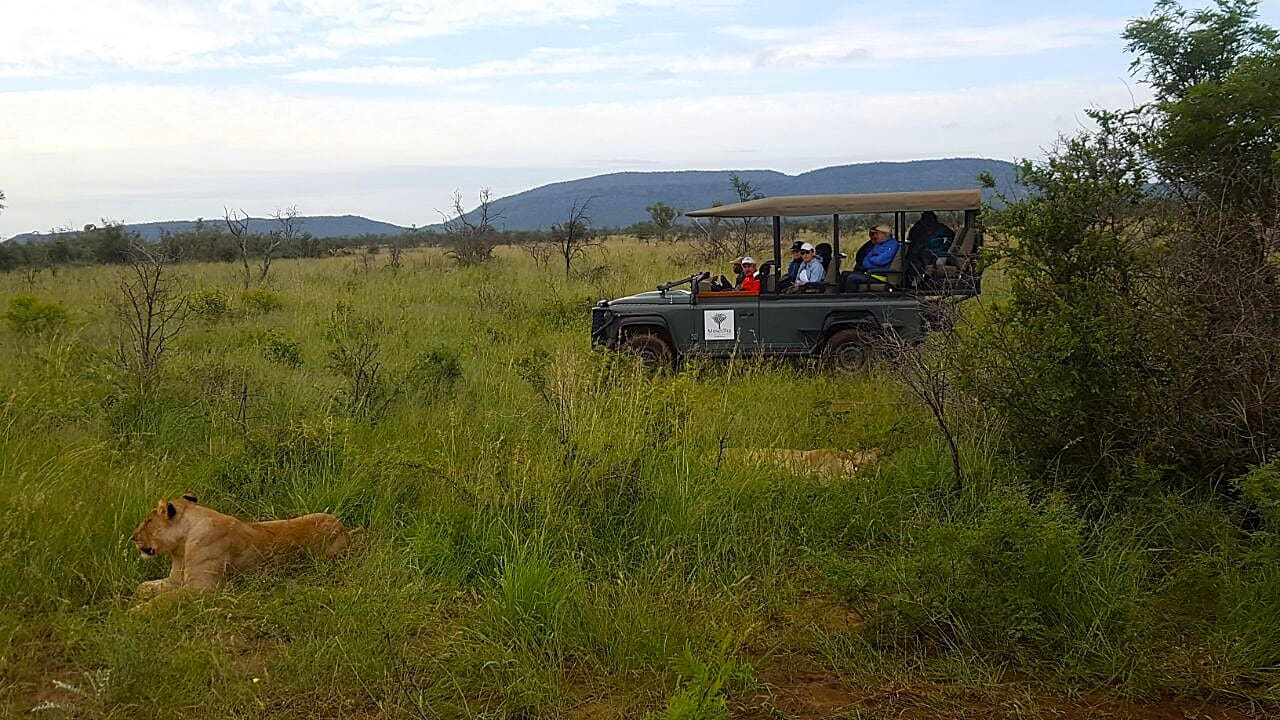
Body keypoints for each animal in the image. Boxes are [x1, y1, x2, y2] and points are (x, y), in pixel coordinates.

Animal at [130, 493, 349, 608]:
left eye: (148, 521)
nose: (132, 537)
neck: (181, 547)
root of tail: (343, 526)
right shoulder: (175, 579)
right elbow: (143, 587)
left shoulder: (203, 587)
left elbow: (163, 600)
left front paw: (136, 612)